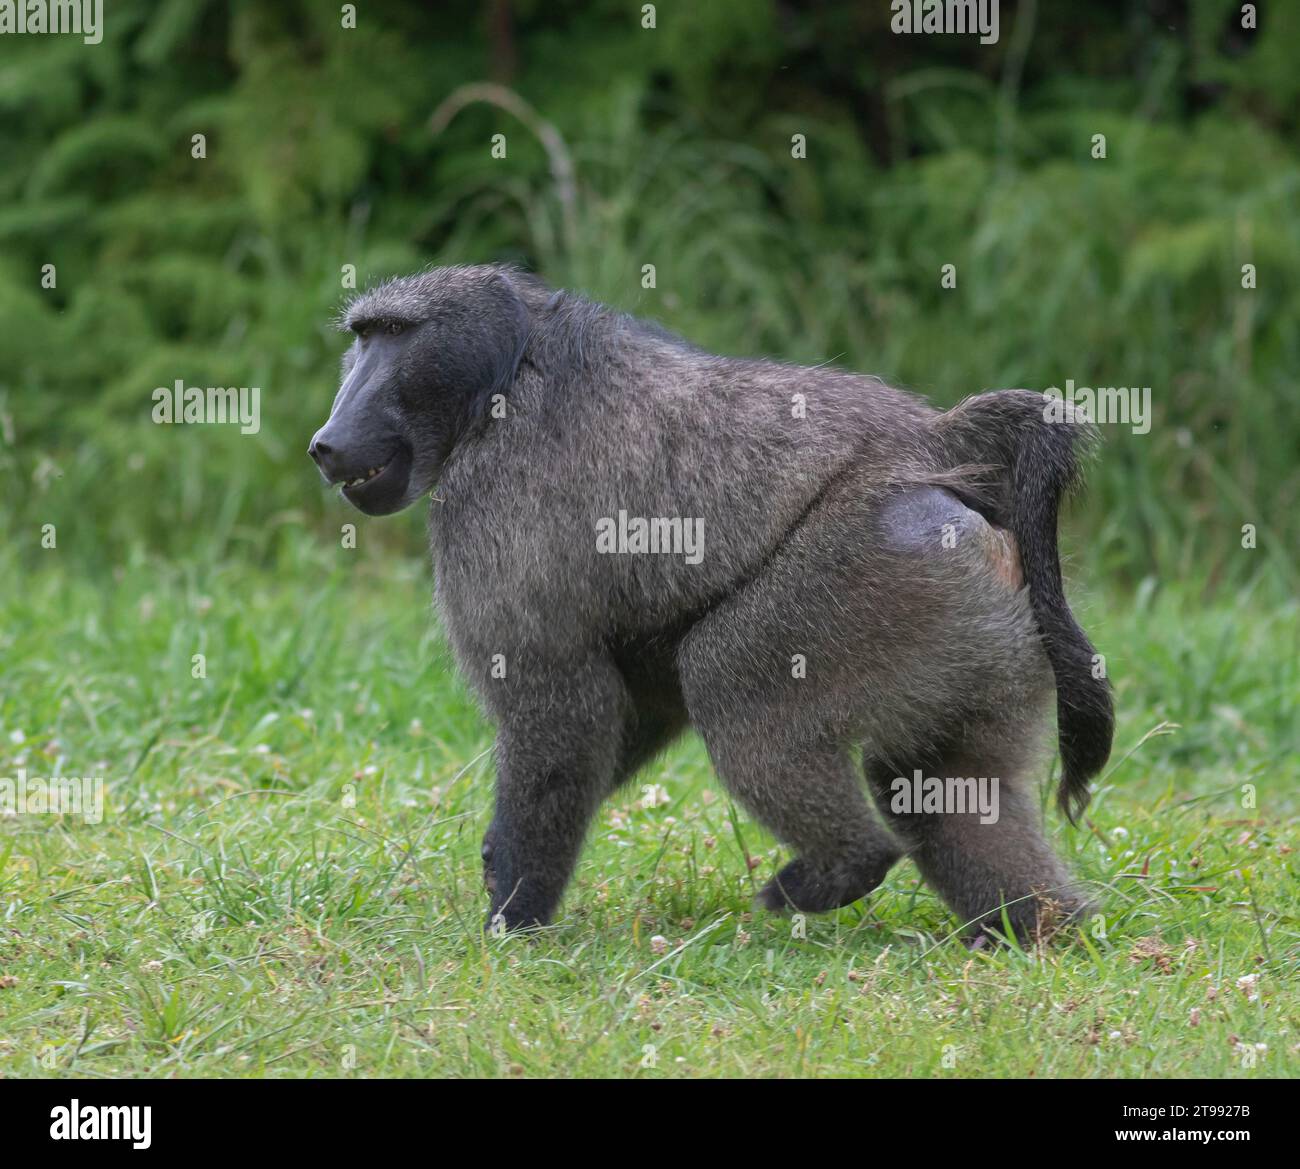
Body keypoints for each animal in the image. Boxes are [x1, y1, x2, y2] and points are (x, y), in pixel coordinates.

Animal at [308, 264, 1113, 943]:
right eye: (363, 337)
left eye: (394, 334)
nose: (326, 442)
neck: (508, 368)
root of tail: (934, 447)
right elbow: (634, 703)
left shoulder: (494, 500)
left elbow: (564, 710)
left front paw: (511, 923)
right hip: (967, 620)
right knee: (939, 785)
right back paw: (1041, 933)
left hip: (866, 572)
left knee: (731, 684)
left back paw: (837, 870)